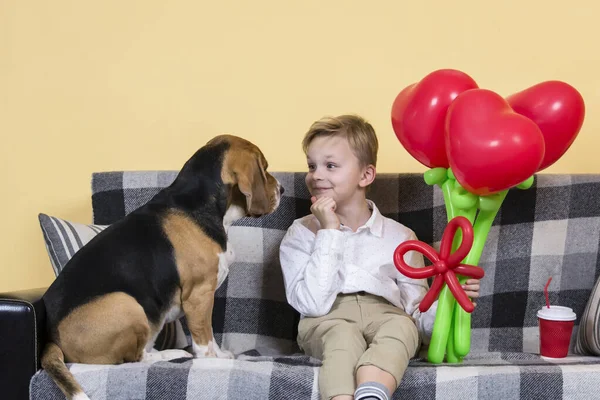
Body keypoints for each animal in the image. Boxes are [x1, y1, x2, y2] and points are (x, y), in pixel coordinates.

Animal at [40, 135, 284, 400]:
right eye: (265, 168)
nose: (282, 189)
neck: (196, 204)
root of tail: (52, 339)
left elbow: (211, 335)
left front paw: (220, 354)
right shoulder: (199, 295)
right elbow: (205, 337)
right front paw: (212, 360)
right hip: (126, 303)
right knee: (135, 358)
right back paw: (171, 354)